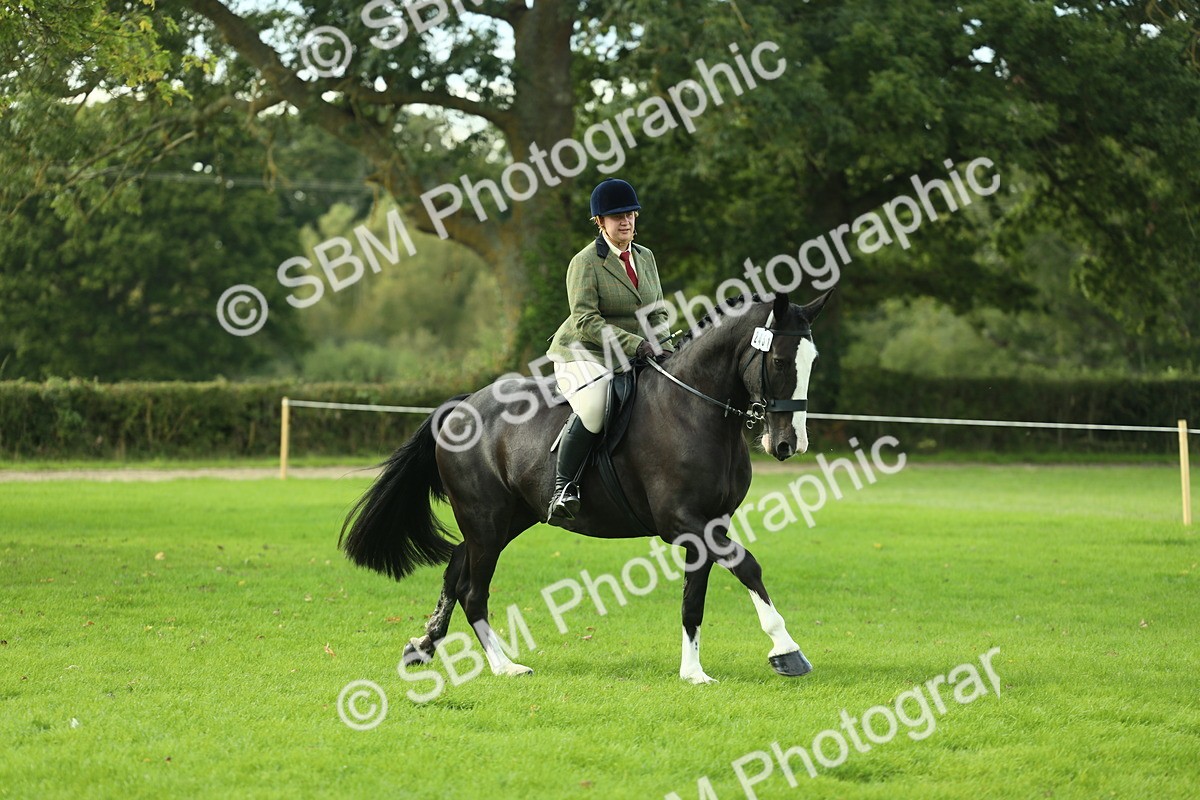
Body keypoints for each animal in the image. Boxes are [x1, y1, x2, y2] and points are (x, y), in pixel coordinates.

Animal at [339, 290, 830, 684]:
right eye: (780, 361)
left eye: (812, 363)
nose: (788, 444)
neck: (696, 408)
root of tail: (460, 407)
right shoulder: (683, 522)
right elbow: (748, 566)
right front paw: (787, 652)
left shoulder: (709, 524)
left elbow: (695, 599)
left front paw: (693, 673)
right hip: (486, 520)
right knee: (473, 591)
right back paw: (505, 667)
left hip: (509, 519)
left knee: (456, 571)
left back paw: (423, 646)